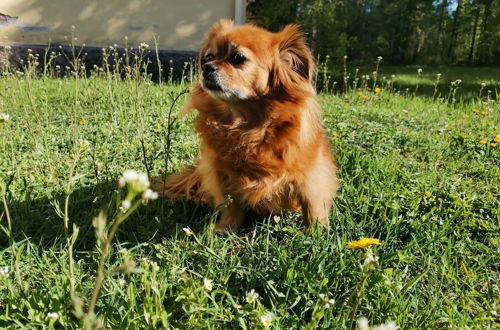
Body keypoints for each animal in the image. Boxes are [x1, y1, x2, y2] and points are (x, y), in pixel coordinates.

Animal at [160, 20, 340, 232]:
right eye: (209, 57)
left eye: (237, 58)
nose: (206, 67)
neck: (249, 127)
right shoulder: (223, 176)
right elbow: (231, 206)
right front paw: (225, 229)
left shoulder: (311, 179)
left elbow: (313, 208)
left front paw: (316, 232)